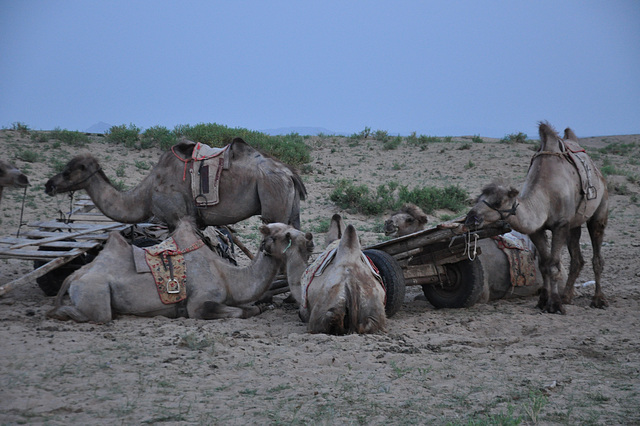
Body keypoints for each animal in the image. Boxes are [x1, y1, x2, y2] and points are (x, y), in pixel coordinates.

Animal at [43, 136, 306, 230]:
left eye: (67, 172)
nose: (48, 185)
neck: (146, 194)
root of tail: (289, 173)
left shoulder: (176, 216)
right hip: (292, 208)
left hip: (273, 199)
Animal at [45, 218, 316, 322]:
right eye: (286, 235)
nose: (310, 240)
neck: (228, 278)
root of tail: (75, 275)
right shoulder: (199, 304)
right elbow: (240, 312)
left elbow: (251, 307)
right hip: (94, 289)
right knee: (93, 314)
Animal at [464, 121, 604, 314]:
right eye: (478, 199)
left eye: (498, 202)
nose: (471, 218)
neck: (544, 197)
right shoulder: (537, 230)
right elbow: (544, 265)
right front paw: (543, 301)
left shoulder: (560, 225)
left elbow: (553, 265)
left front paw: (555, 305)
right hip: (575, 223)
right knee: (577, 259)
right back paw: (567, 297)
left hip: (600, 209)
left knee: (597, 255)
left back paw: (598, 300)